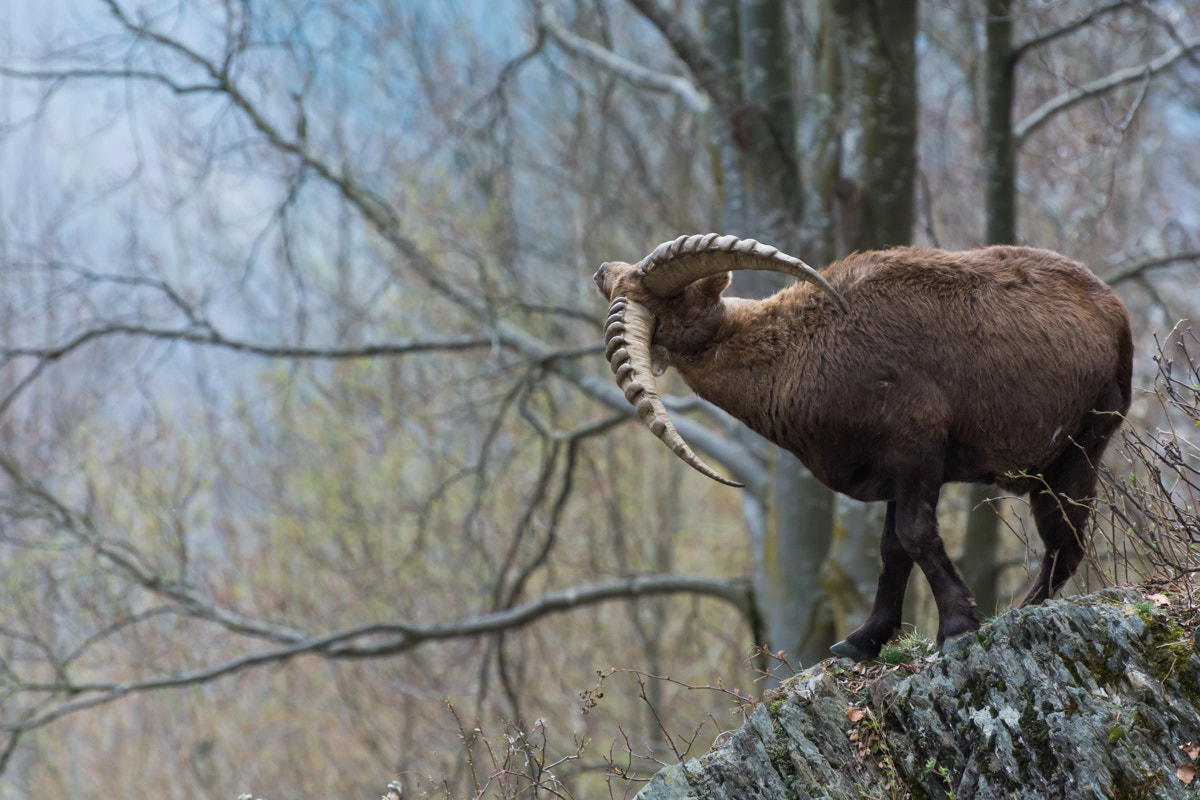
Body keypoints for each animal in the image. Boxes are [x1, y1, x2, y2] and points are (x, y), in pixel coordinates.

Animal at [593, 233, 1132, 661]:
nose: (601, 269)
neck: (799, 350)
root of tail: (1114, 311)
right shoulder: (894, 471)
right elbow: (892, 549)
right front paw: (862, 641)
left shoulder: (917, 447)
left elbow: (915, 534)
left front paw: (959, 628)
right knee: (1066, 543)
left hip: (1078, 450)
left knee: (1066, 541)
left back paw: (1023, 610)